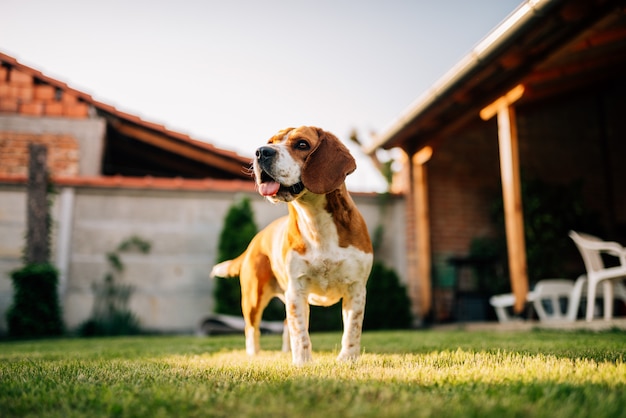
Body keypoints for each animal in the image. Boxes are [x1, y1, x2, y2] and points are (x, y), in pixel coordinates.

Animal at [212, 125, 372, 364]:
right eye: (271, 141)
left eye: (302, 144)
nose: (261, 151)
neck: (315, 220)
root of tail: (255, 241)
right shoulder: (297, 289)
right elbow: (300, 333)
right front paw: (303, 362)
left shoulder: (356, 289)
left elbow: (352, 330)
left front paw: (347, 360)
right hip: (254, 297)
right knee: (252, 329)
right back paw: (254, 355)